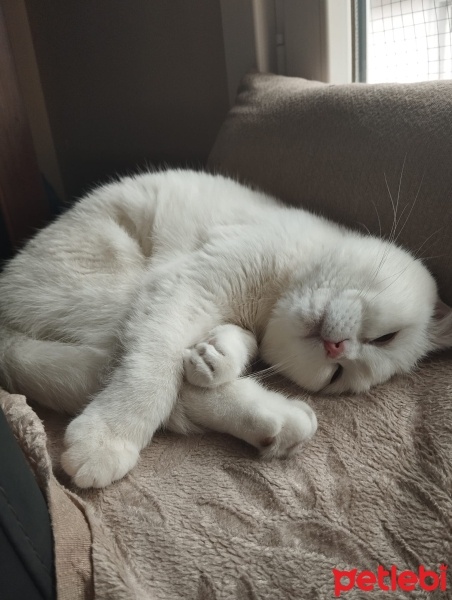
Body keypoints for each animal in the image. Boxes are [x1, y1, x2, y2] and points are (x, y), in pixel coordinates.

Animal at [0, 169, 452, 488]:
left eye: (335, 376)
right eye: (385, 337)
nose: (337, 349)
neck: (272, 299)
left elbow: (219, 352)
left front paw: (217, 354)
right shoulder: (187, 287)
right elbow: (150, 378)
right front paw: (108, 439)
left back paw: (275, 421)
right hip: (117, 288)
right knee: (128, 371)